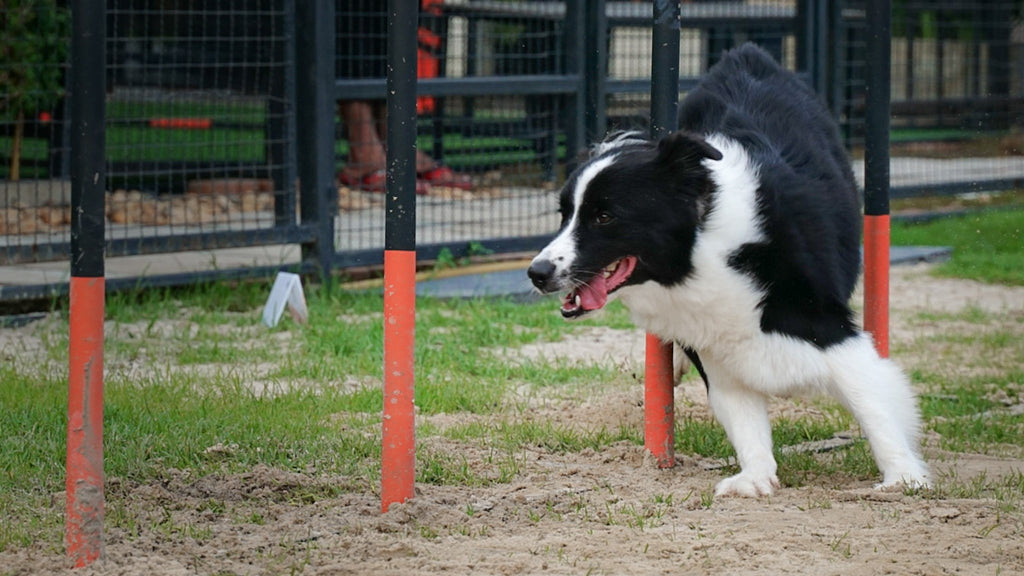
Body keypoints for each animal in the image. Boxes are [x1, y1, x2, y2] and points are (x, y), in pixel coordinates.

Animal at [528, 43, 929, 494]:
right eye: (564, 214)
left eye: (604, 217)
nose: (536, 272)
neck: (701, 251)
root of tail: (747, 54)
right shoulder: (715, 348)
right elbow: (744, 417)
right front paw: (755, 478)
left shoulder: (830, 329)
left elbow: (872, 400)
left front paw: (904, 476)